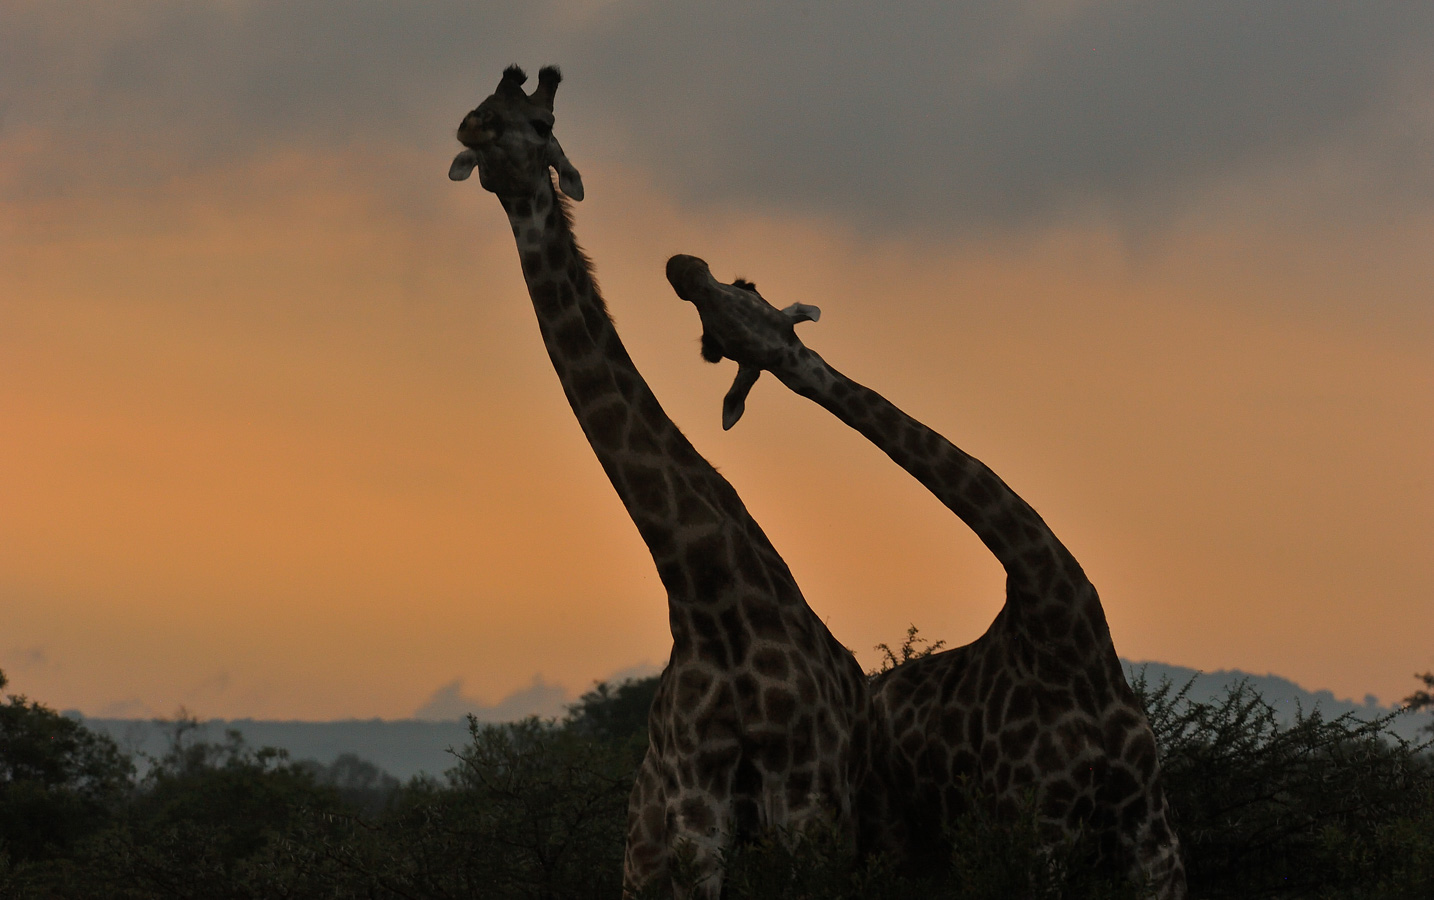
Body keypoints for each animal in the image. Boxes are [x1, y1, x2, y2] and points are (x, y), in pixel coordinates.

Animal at [447, 66, 871, 894]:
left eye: (542, 123)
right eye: (484, 108)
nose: (472, 128)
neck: (704, 592)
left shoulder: (804, 800)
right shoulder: (694, 817)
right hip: (641, 848)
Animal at [665, 255, 1181, 899]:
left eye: (744, 291)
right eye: (713, 344)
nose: (682, 268)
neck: (1060, 624)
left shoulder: (1150, 828)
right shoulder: (1038, 822)